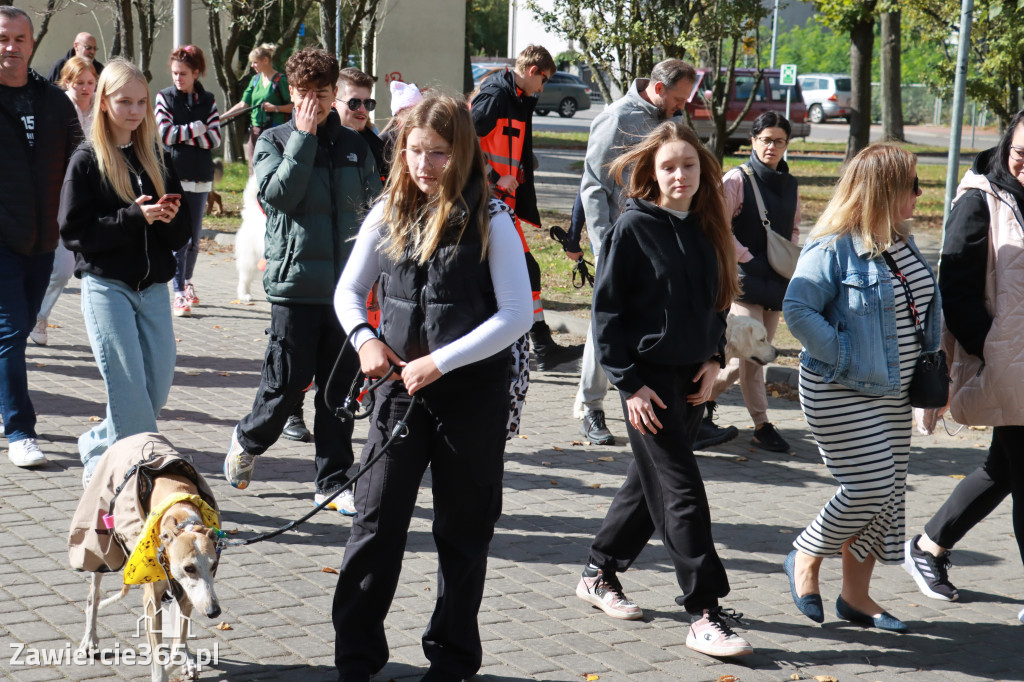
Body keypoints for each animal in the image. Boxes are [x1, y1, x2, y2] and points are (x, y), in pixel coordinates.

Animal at [72, 432, 224, 675]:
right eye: (189, 568)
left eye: (213, 565)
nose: (214, 612)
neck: (180, 513)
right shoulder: (152, 600)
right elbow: (158, 659)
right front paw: (162, 672)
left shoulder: (186, 595)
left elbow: (178, 643)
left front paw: (183, 659)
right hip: (99, 548)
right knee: (92, 597)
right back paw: (89, 640)